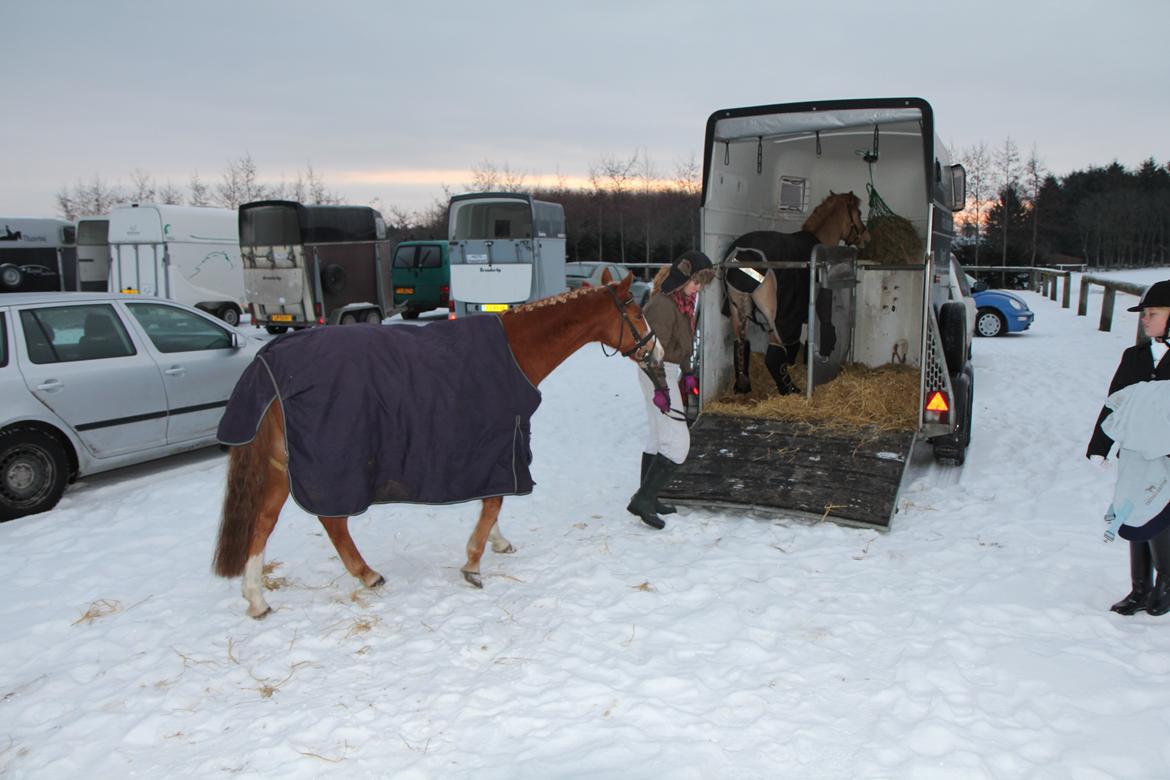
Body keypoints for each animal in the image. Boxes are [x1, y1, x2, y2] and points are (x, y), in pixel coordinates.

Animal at [211, 273, 661, 618]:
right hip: (326, 466)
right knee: (331, 521)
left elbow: (492, 499)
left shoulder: (486, 447)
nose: (655, 351)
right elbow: (494, 501)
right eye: (636, 312)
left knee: (263, 522)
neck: (515, 351)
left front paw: (496, 542)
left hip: (281, 466)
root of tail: (269, 360)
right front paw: (474, 562)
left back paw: (256, 598)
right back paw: (366, 574)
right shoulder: (500, 443)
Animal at [723, 191, 869, 395]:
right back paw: (790, 389)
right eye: (859, 212)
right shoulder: (796, 316)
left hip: (737, 309)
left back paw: (743, 386)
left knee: (741, 344)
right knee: (774, 356)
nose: (866, 238)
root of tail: (743, 257)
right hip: (777, 317)